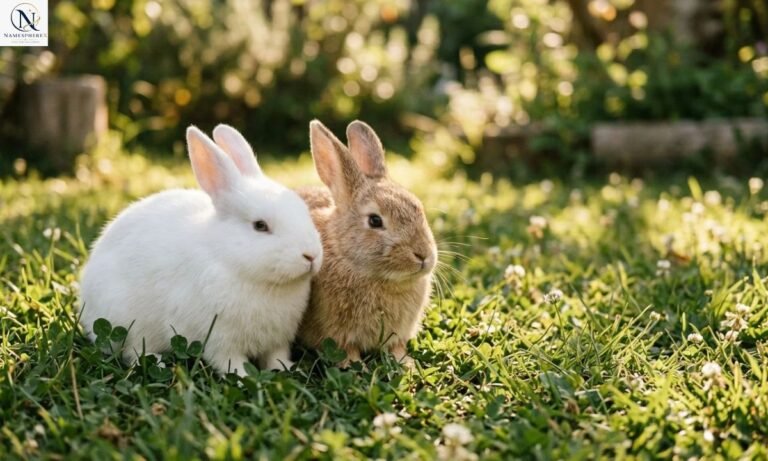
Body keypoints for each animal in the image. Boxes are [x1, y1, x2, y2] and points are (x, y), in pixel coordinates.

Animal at [79, 125, 323, 377]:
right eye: (260, 226)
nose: (311, 255)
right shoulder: (219, 340)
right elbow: (230, 362)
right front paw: (243, 377)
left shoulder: (278, 340)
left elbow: (276, 357)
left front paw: (287, 370)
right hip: (126, 320)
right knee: (132, 350)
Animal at [296, 120, 437, 366]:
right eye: (375, 220)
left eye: (418, 207)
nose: (424, 256)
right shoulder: (337, 334)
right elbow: (347, 351)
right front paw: (354, 365)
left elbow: (397, 348)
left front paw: (407, 364)